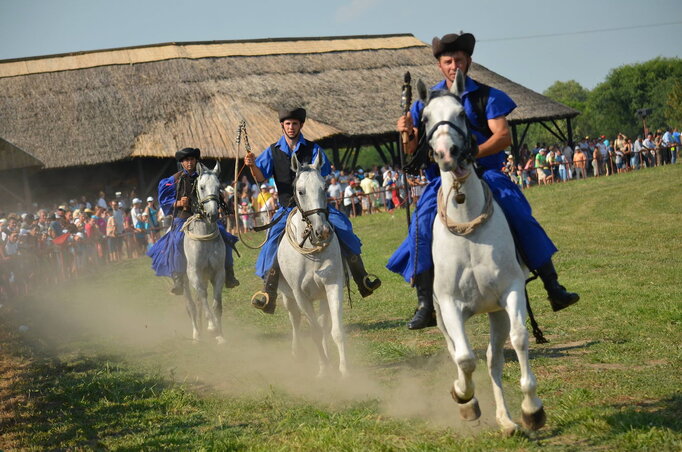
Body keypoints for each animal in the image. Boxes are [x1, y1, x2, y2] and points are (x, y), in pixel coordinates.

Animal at [274, 153, 348, 378]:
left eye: (325, 187)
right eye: (301, 191)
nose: (322, 231)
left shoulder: (333, 285)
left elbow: (335, 330)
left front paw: (343, 370)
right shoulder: (300, 295)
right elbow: (314, 332)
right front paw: (323, 369)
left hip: (321, 296)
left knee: (323, 325)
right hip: (288, 297)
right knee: (295, 320)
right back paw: (298, 352)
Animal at [418, 69, 544, 434]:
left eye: (462, 113)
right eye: (425, 118)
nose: (448, 153)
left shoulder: (510, 292)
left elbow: (519, 339)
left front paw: (532, 409)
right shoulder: (449, 304)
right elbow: (463, 357)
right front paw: (463, 397)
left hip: (495, 311)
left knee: (494, 359)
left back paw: (506, 419)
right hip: (441, 313)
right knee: (460, 352)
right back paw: (471, 403)